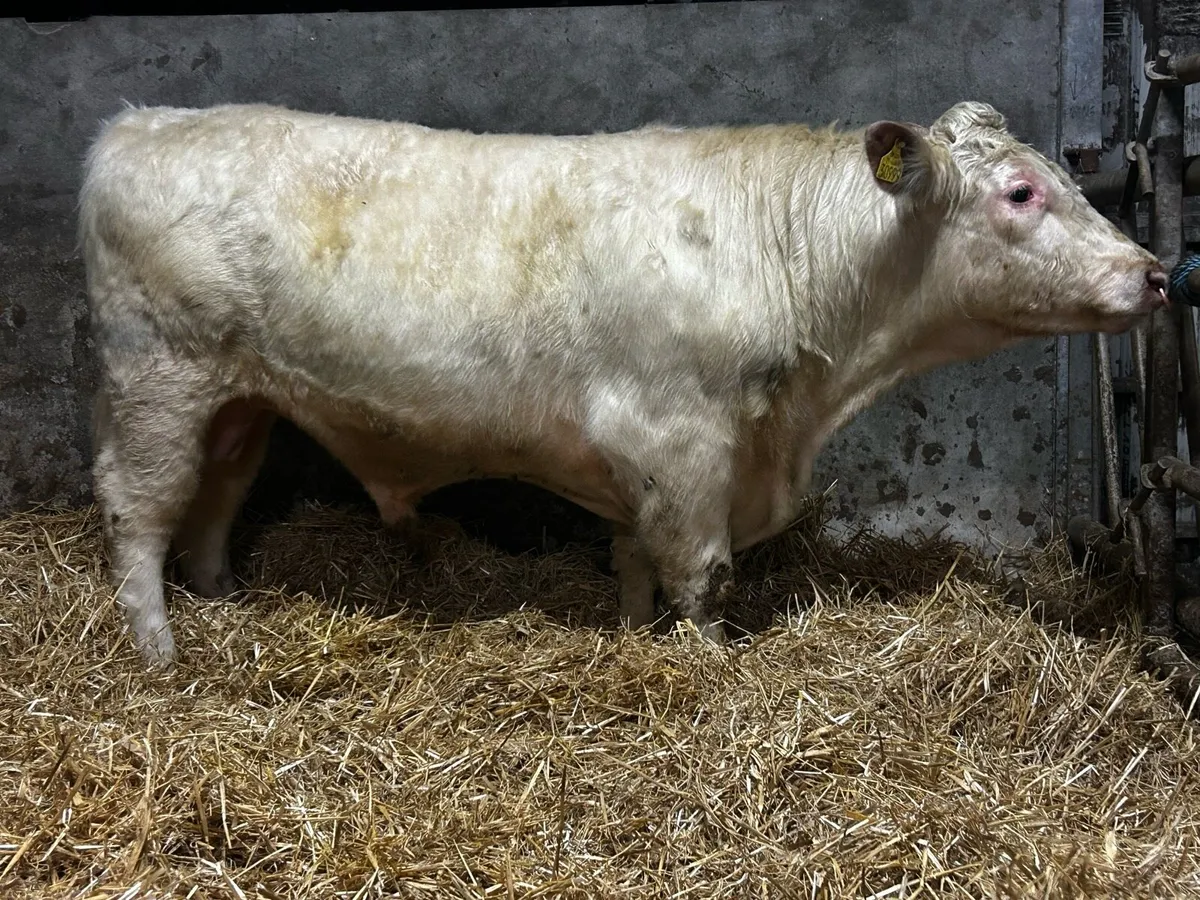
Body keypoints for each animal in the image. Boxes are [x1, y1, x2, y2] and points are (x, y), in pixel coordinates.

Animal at [79, 100, 1167, 667]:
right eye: (1021, 193)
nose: (1154, 272)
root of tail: (141, 123)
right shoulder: (680, 441)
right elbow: (701, 573)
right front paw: (708, 667)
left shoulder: (654, 461)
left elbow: (637, 561)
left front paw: (639, 639)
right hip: (157, 379)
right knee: (139, 509)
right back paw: (160, 648)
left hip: (240, 398)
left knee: (217, 497)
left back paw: (222, 599)